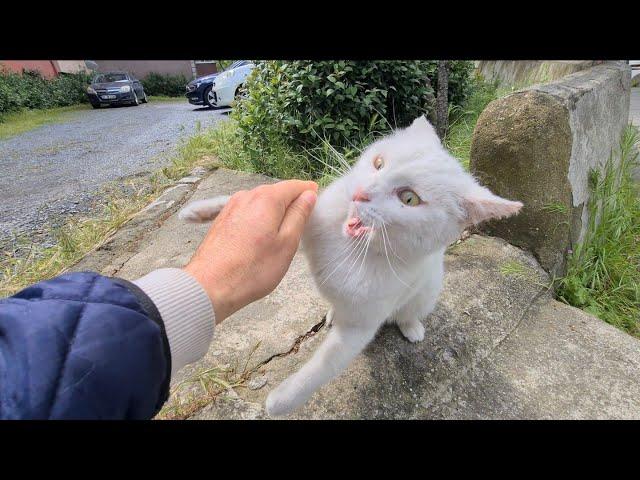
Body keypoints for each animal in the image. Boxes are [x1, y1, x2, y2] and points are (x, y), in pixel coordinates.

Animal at [178, 116, 524, 416]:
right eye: (378, 163)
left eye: (409, 198)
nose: (359, 194)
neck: (352, 249)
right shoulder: (312, 223)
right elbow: (258, 203)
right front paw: (201, 210)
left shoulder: (359, 327)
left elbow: (322, 368)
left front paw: (280, 401)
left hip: (427, 290)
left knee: (411, 310)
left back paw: (411, 327)